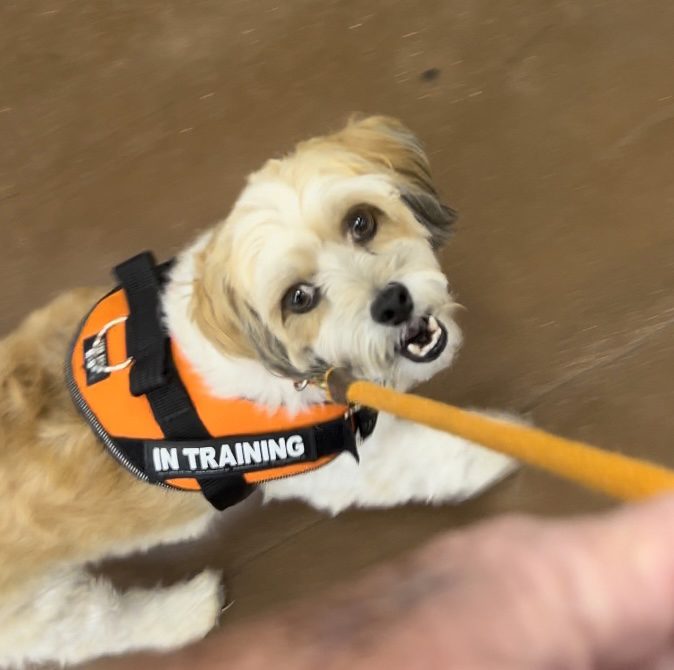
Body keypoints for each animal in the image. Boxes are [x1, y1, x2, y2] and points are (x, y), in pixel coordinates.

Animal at [0, 115, 516, 668]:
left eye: (362, 222)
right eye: (299, 298)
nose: (392, 303)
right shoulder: (337, 465)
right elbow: (430, 456)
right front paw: (500, 444)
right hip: (36, 611)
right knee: (93, 628)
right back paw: (186, 611)